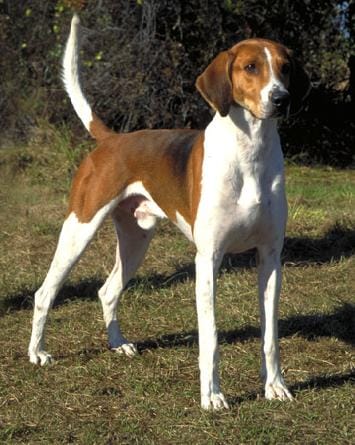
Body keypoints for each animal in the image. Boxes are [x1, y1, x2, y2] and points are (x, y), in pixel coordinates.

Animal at [29, 14, 310, 410]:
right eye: (251, 67)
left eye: (285, 68)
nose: (281, 99)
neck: (249, 151)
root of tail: (112, 139)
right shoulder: (207, 260)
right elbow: (210, 338)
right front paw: (213, 396)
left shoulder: (270, 258)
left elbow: (270, 335)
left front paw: (275, 386)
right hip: (78, 230)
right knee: (44, 294)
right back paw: (37, 353)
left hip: (135, 241)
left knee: (107, 291)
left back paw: (117, 344)